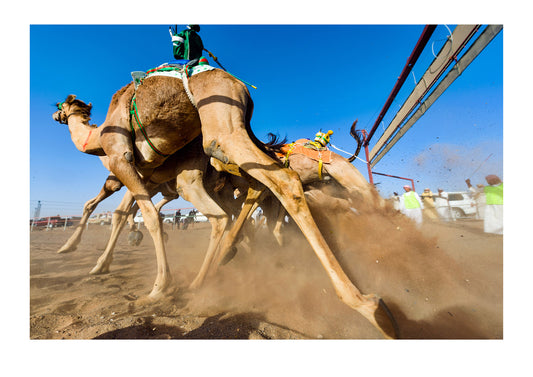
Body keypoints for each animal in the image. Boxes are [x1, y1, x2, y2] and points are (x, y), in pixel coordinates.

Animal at [52, 68, 396, 338]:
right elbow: (135, 211)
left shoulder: (121, 160)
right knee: (250, 203)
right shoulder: (153, 173)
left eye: (62, 105)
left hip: (221, 128)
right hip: (214, 155)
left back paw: (367, 305)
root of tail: (238, 84)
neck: (95, 139)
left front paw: (155, 287)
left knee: (281, 184)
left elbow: (137, 214)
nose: (56, 114)